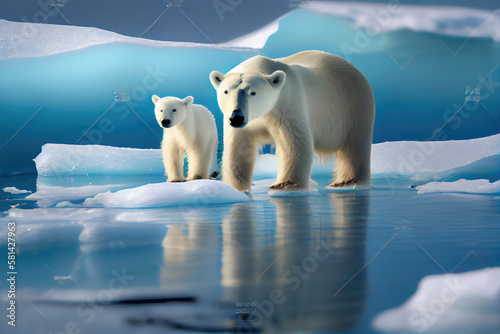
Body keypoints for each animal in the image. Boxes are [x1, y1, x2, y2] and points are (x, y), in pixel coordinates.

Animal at [208, 49, 376, 190]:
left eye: (253, 92)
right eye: (226, 91)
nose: (236, 117)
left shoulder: (286, 103)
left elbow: (294, 142)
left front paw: (284, 185)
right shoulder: (241, 124)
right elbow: (238, 149)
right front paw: (235, 187)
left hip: (352, 105)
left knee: (356, 144)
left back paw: (347, 181)